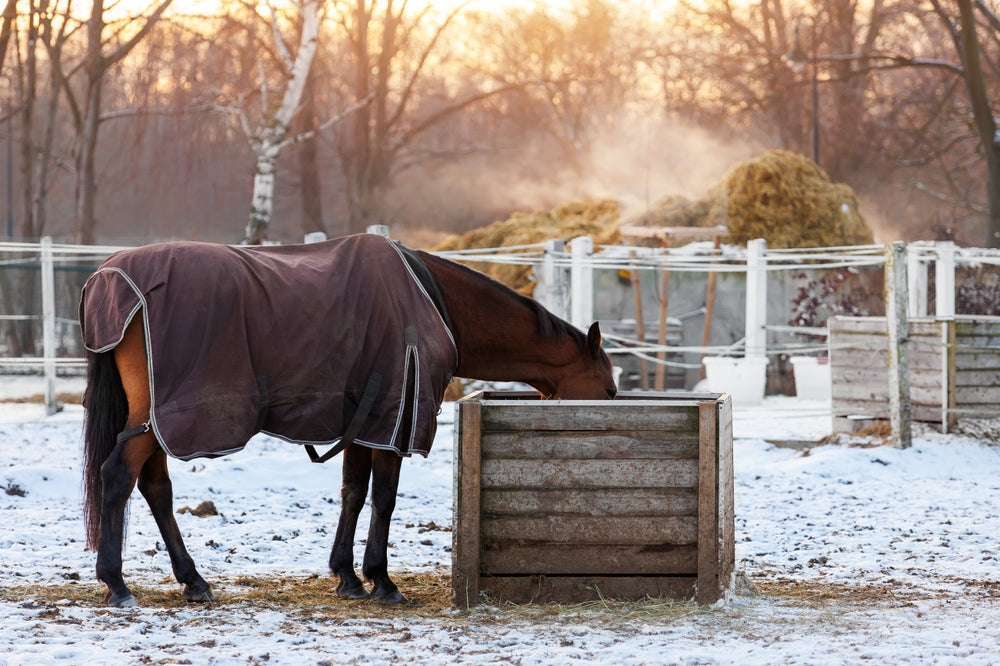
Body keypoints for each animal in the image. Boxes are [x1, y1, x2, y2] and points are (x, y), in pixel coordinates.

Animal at [80, 234, 617, 607]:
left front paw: (347, 576)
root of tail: (108, 274)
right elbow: (384, 499)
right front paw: (382, 580)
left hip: (152, 422)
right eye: (610, 390)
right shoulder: (395, 420)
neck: (433, 300)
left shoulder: (366, 420)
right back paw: (117, 584)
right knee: (118, 476)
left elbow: (354, 494)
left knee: (154, 488)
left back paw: (193, 580)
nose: (610, 414)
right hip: (161, 419)